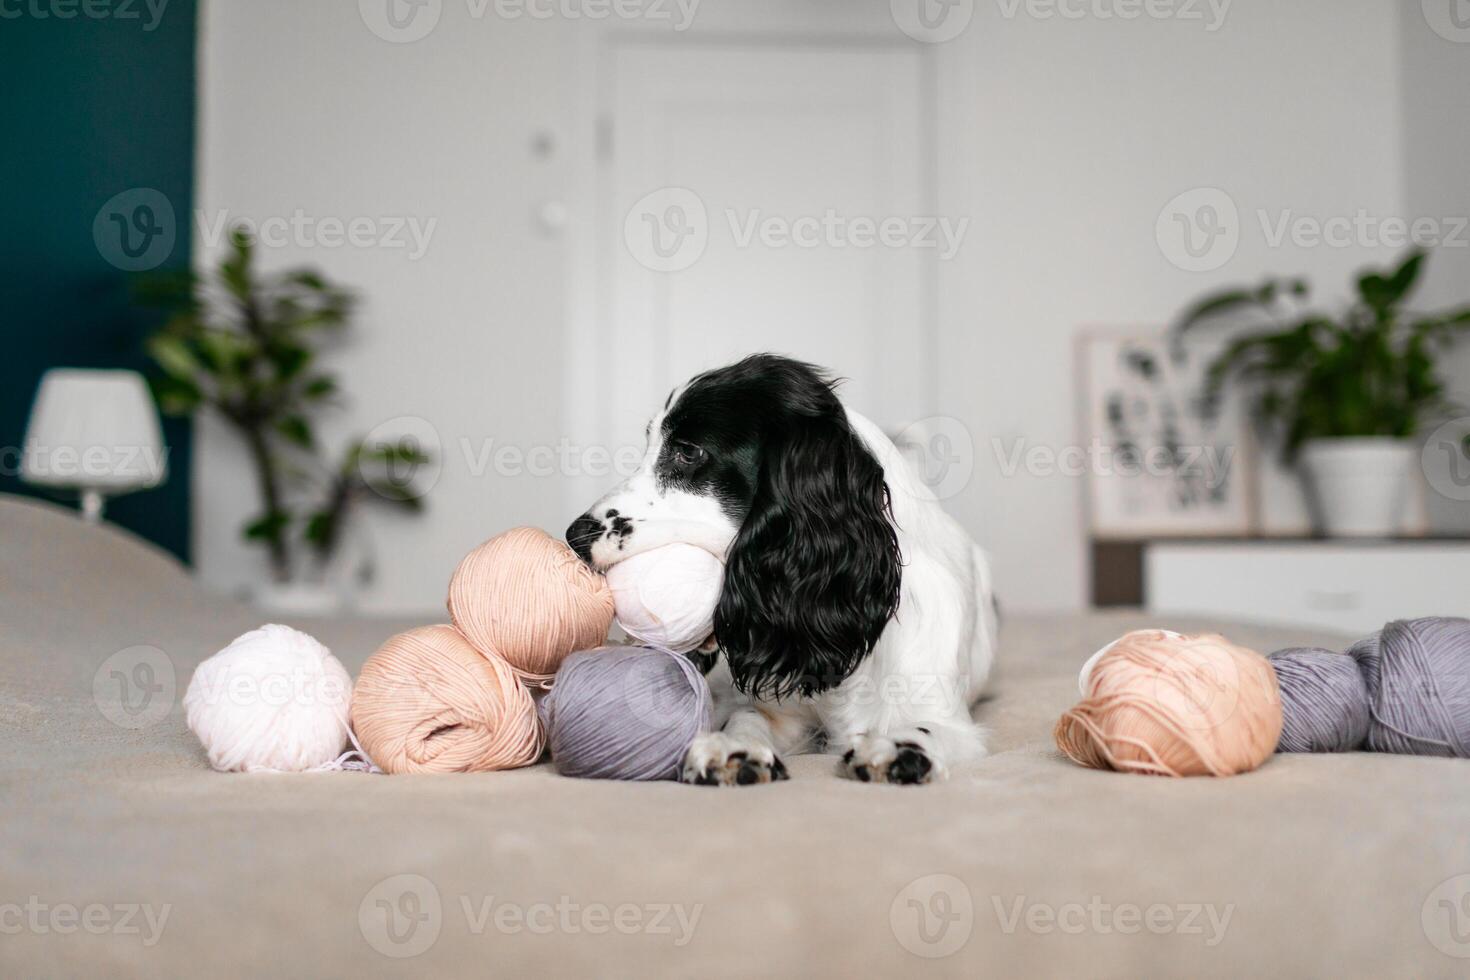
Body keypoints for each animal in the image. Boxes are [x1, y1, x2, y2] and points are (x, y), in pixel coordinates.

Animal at [564, 357, 999, 787]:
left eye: (688, 452)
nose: (574, 535)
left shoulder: (947, 715)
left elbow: (929, 728)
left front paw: (900, 748)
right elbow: (748, 716)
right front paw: (734, 748)